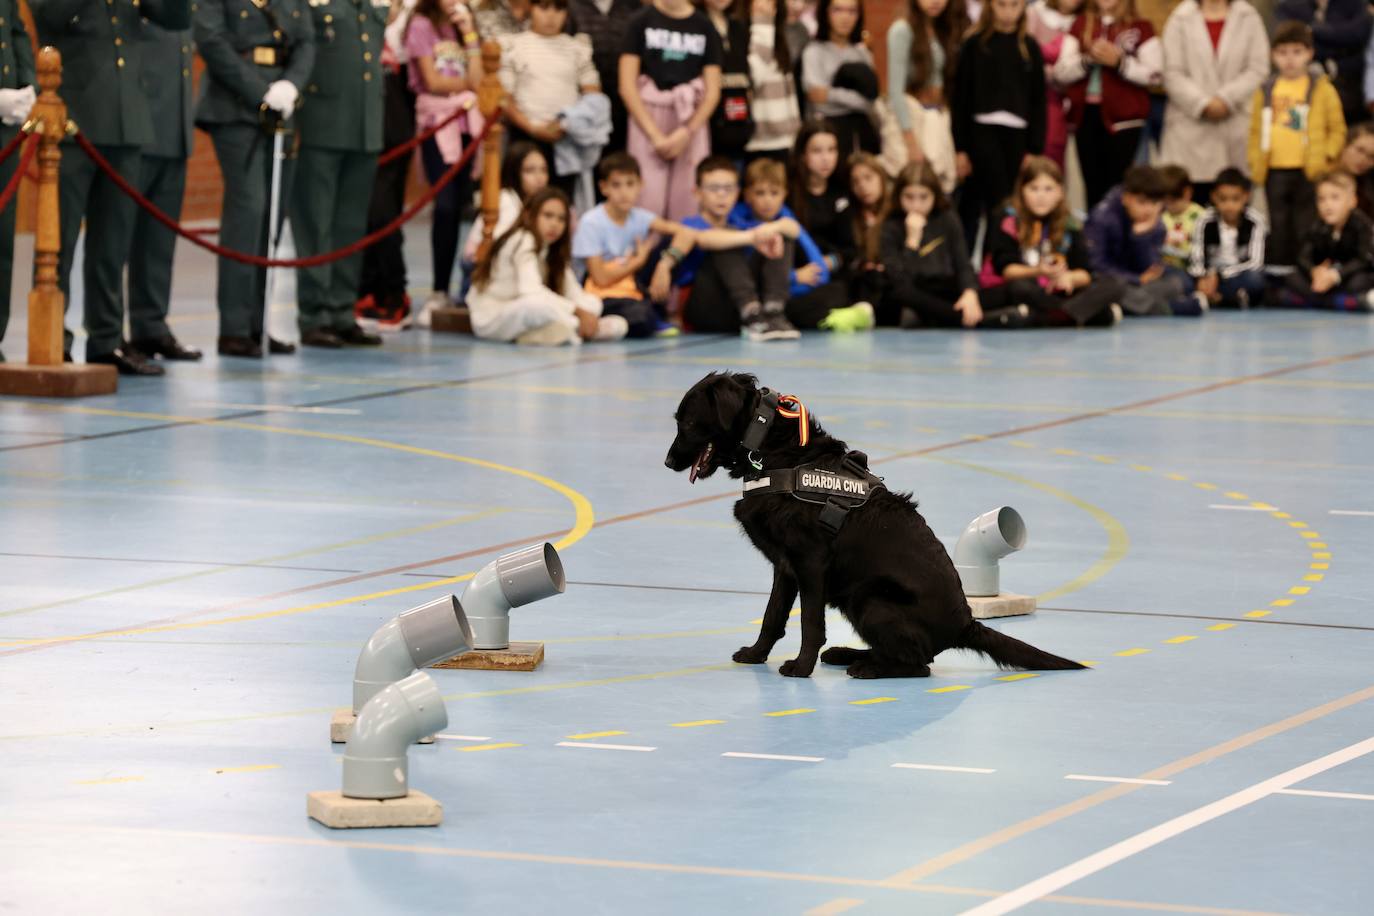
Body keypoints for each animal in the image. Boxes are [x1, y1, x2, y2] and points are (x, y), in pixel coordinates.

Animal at [659, 373, 1088, 681]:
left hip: (870, 598)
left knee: (918, 665)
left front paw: (800, 667)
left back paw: (865, 667)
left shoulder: (810, 562)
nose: (667, 462)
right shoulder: (785, 566)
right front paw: (755, 654)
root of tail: (965, 623)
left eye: (689, 421)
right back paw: (847, 654)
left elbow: (809, 622)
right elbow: (773, 616)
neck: (777, 453)